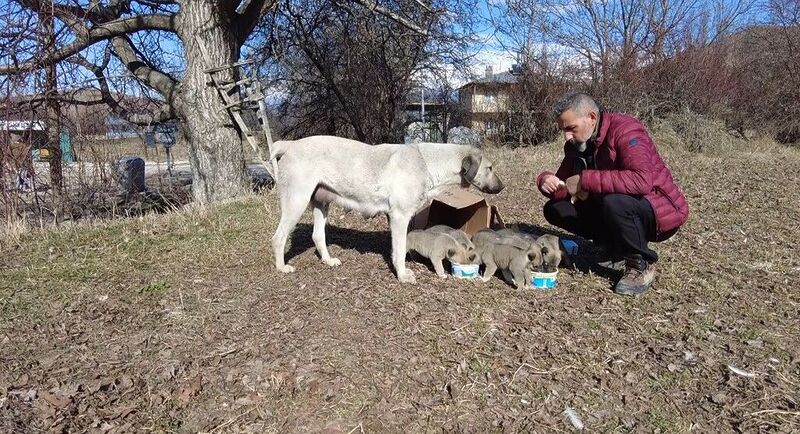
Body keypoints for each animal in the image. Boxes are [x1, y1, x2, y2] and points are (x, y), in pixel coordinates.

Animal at [272, 136, 504, 284]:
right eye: (490, 168)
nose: (502, 186)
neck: (427, 162)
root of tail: (290, 145)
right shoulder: (399, 217)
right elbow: (399, 250)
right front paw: (402, 275)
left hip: (321, 204)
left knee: (317, 235)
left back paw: (328, 260)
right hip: (296, 201)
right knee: (278, 237)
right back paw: (281, 267)